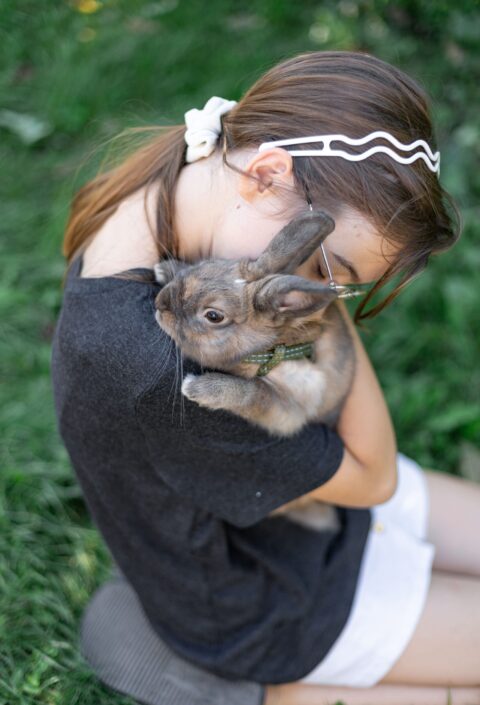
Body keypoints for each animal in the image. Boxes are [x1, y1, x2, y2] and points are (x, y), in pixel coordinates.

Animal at [153, 210, 355, 529]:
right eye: (205, 265)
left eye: (213, 316)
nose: (160, 303)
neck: (271, 349)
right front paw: (166, 269)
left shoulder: (290, 408)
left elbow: (254, 392)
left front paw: (199, 389)